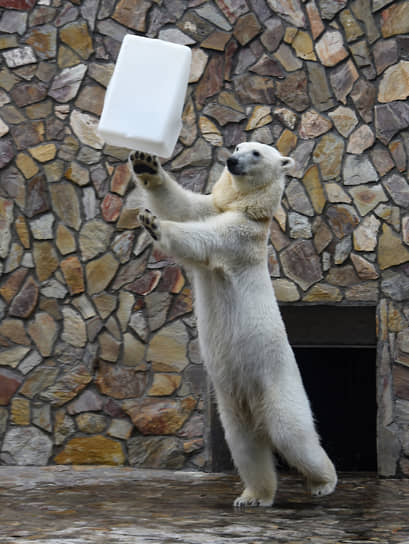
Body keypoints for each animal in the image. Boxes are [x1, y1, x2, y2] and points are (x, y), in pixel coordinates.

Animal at [127, 142, 334, 508]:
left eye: (256, 153)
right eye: (239, 147)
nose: (232, 161)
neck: (250, 209)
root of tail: (256, 408)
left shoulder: (241, 237)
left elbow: (203, 237)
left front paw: (154, 224)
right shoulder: (214, 206)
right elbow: (186, 207)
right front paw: (145, 164)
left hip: (279, 387)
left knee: (293, 436)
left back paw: (323, 482)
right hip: (233, 404)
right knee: (246, 446)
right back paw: (252, 496)